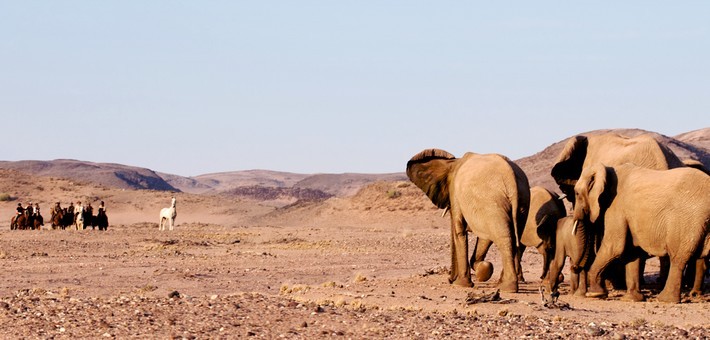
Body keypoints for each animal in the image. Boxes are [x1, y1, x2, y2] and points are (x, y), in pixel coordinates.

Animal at [408, 149, 532, 292]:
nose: (450, 280)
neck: (452, 163)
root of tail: (511, 179)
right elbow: (483, 237)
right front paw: (482, 269)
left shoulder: (456, 195)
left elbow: (459, 230)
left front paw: (461, 284)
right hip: (522, 203)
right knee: (513, 236)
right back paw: (503, 283)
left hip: (492, 200)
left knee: (503, 237)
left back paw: (507, 287)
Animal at [576, 164, 708, 302]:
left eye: (577, 193)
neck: (607, 169)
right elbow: (631, 251)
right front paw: (631, 299)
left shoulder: (616, 206)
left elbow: (614, 247)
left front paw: (595, 294)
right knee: (700, 256)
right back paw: (693, 295)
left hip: (687, 220)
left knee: (678, 258)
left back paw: (665, 299)